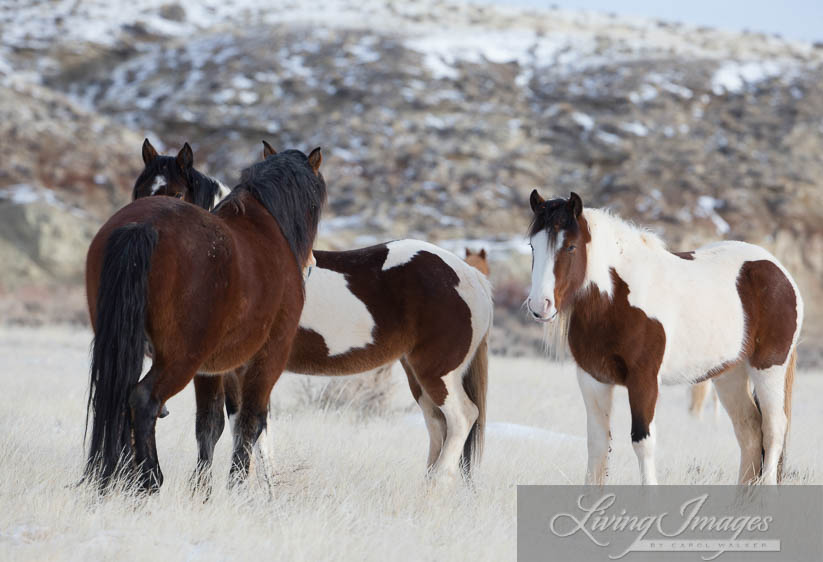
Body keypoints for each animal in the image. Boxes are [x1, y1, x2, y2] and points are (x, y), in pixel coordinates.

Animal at [83, 147, 326, 488]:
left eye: (177, 191)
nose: (312, 263)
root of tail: (143, 224)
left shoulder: (213, 369)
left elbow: (212, 427)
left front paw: (204, 491)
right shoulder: (266, 358)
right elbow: (250, 423)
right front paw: (240, 487)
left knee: (118, 401)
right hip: (180, 359)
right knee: (142, 401)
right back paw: (149, 480)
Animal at [137, 141, 496, 486]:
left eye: (177, 193)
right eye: (139, 191)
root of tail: (468, 275)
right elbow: (253, 430)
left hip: (438, 371)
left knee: (462, 418)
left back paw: (438, 483)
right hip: (417, 373)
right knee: (438, 425)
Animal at [528, 190, 804, 484]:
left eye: (570, 247)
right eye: (533, 246)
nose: (540, 305)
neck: (616, 300)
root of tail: (779, 271)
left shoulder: (644, 380)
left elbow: (643, 442)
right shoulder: (593, 379)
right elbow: (597, 445)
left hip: (769, 369)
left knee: (774, 430)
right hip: (730, 374)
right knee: (750, 431)